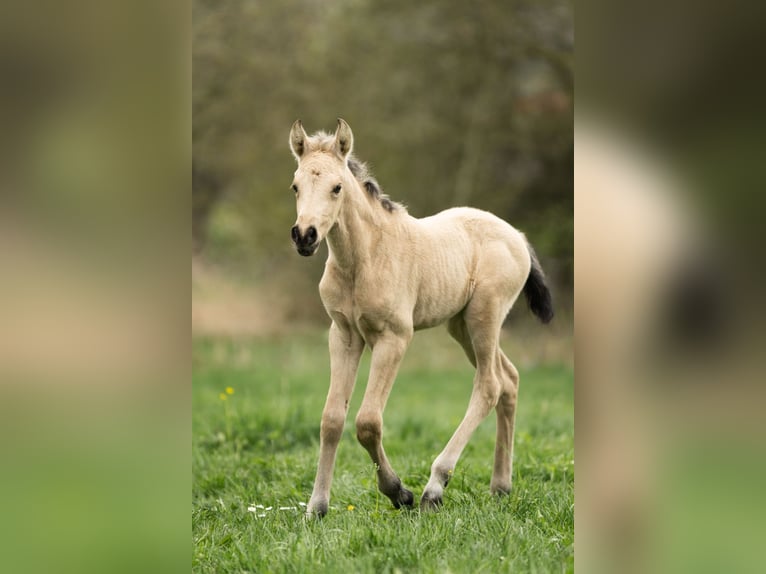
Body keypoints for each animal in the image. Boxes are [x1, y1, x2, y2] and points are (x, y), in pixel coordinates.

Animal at [288, 118, 553, 517]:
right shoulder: (344, 335)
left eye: (337, 187)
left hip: (484, 315)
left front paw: (399, 493)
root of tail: (518, 237)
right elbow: (331, 419)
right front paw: (317, 507)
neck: (363, 260)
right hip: (461, 325)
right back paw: (500, 487)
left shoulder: (394, 337)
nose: (305, 236)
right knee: (509, 379)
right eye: (295, 186)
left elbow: (367, 422)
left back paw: (434, 488)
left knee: (489, 385)